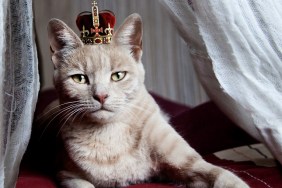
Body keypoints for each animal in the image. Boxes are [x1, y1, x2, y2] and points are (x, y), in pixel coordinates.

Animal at [45, 13, 249, 188]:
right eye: (80, 78)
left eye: (118, 76)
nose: (101, 95)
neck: (110, 134)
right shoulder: (67, 175)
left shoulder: (190, 163)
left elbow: (221, 174)